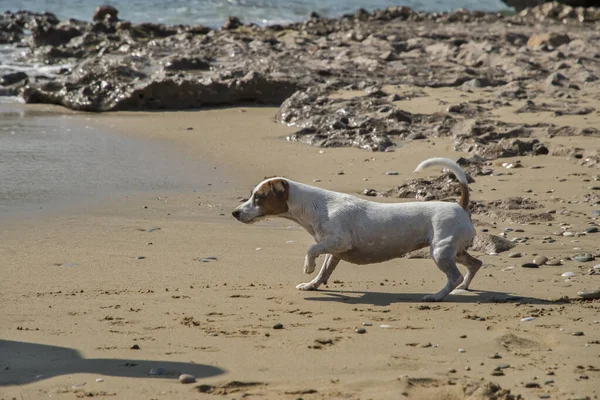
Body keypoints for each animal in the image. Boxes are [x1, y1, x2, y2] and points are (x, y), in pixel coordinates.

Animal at [232, 158, 480, 302]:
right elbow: (324, 272)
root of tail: (460, 205)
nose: (234, 213)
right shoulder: (334, 251)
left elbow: (311, 250)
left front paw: (308, 267)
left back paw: (437, 296)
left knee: (454, 276)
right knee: (475, 264)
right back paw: (465, 286)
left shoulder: (339, 242)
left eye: (259, 197)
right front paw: (312, 285)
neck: (314, 207)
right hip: (454, 251)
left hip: (440, 251)